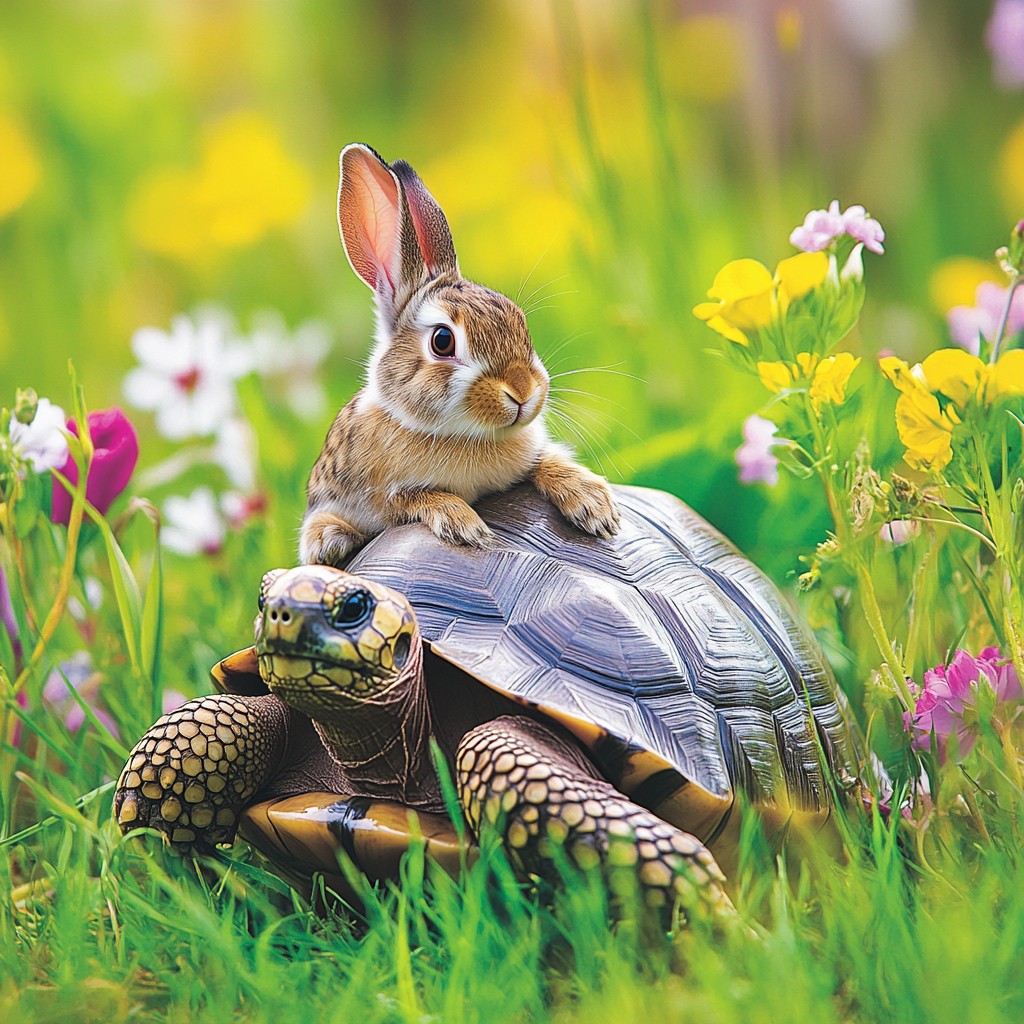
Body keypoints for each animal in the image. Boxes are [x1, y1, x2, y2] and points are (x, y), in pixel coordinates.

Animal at [299, 143, 619, 567]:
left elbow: (545, 460)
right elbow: (411, 497)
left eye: (520, 320)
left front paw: (594, 504)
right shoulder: (380, 494)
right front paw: (464, 525)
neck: (466, 435)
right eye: (442, 341)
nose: (523, 391)